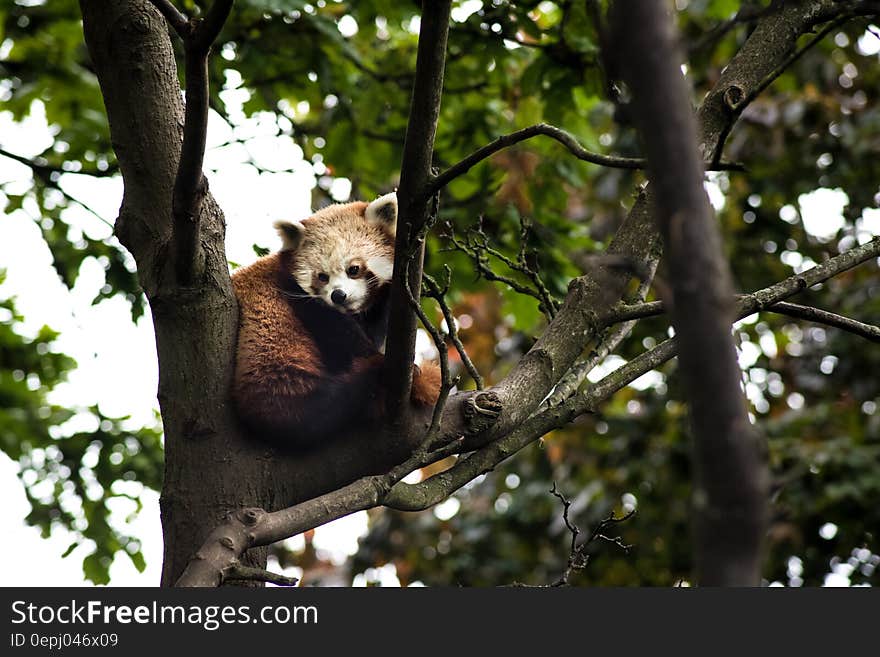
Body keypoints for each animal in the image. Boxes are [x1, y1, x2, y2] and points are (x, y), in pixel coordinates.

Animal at [232, 190, 444, 446]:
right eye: (322, 276)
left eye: (353, 269)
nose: (338, 295)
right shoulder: (299, 298)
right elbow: (341, 336)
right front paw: (383, 362)